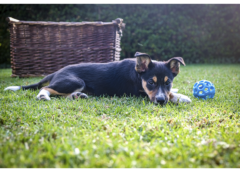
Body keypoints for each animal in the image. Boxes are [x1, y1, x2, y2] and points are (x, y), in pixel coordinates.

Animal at [4, 51, 191, 104]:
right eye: (151, 82)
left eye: (168, 82)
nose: (160, 101)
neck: (138, 75)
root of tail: (56, 72)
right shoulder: (138, 93)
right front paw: (180, 97)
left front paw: (176, 92)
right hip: (74, 80)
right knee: (46, 87)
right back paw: (43, 95)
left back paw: (78, 96)